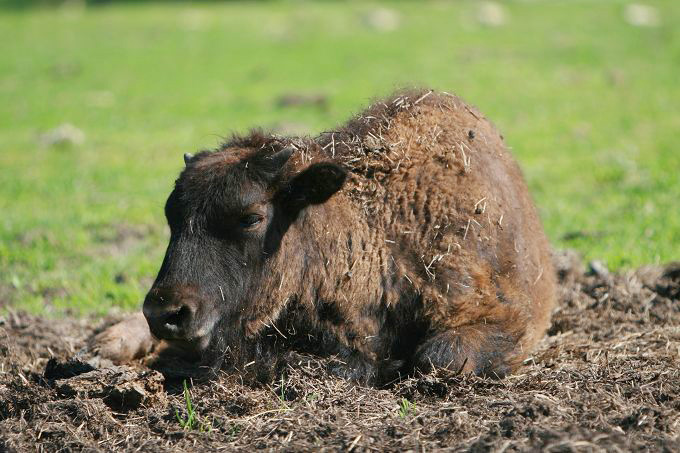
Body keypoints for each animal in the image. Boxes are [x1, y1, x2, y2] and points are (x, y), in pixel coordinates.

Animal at [93, 90, 556, 384]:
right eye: (172, 215)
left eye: (251, 217)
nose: (166, 313)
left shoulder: (497, 317)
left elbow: (435, 358)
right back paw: (106, 344)